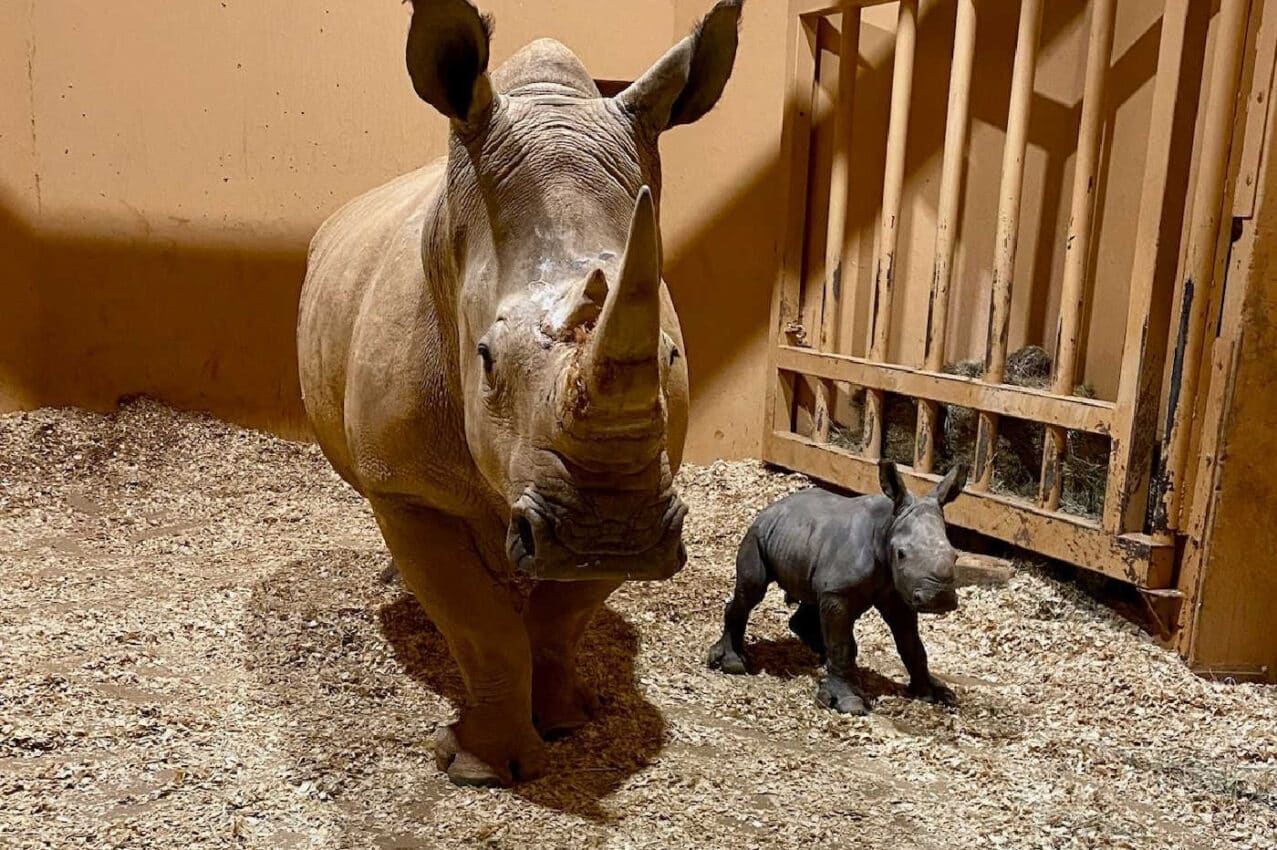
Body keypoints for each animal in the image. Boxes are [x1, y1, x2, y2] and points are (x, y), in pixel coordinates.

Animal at [297, 0, 743, 785]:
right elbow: (481, 624)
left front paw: (566, 722)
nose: (612, 535)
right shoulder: (405, 486)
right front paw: (483, 768)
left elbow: (560, 616)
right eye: (484, 360)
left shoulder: (636, 485)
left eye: (670, 356)